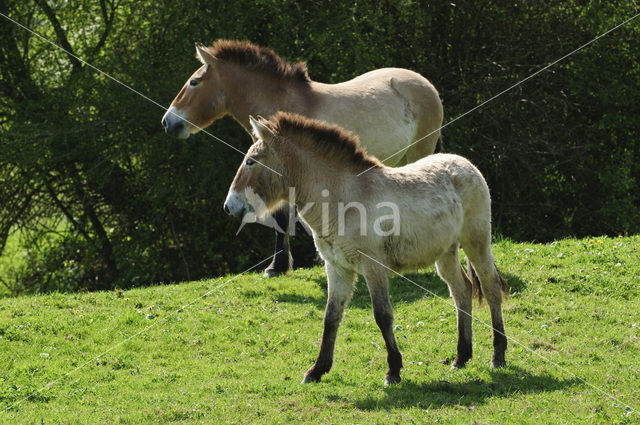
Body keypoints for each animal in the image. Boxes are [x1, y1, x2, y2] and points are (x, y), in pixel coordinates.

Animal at [222, 112, 508, 384]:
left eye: (251, 161)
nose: (229, 206)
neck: (342, 201)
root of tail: (465, 164)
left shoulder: (373, 267)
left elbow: (382, 315)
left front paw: (393, 370)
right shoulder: (337, 268)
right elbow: (331, 316)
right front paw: (317, 370)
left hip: (477, 243)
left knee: (491, 289)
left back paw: (498, 356)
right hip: (445, 253)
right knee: (462, 291)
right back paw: (461, 357)